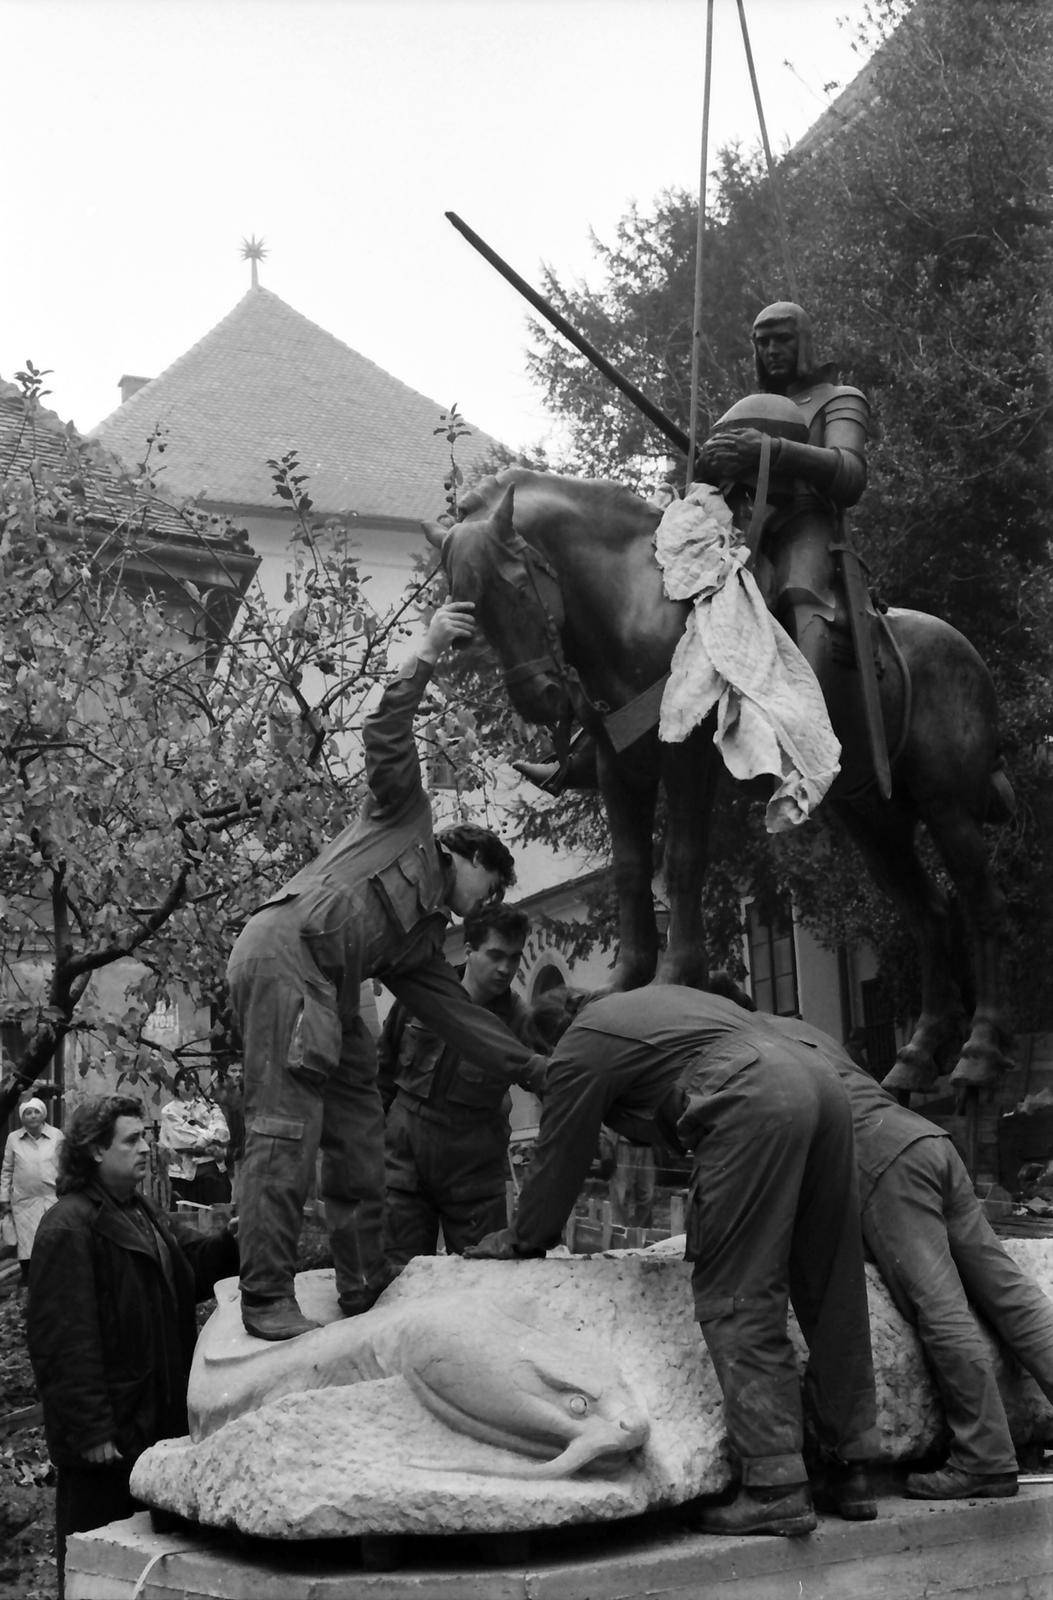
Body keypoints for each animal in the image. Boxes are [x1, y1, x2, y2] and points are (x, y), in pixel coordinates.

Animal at [422, 464, 1011, 1088]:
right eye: (469, 610)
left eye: (515, 586)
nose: (540, 698)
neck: (634, 603)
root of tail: (964, 651)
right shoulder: (619, 766)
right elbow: (631, 870)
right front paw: (620, 986)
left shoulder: (687, 757)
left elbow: (682, 861)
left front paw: (673, 977)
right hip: (875, 819)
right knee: (930, 915)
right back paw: (915, 1059)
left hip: (947, 805)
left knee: (982, 904)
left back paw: (978, 1054)